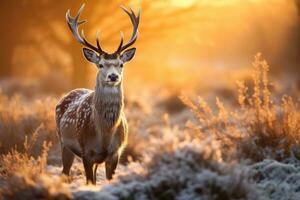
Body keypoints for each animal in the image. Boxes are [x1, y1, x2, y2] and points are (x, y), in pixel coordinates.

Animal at [55, 3, 140, 184]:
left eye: (121, 64)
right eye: (100, 64)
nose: (113, 76)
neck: (104, 136)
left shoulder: (115, 153)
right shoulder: (86, 152)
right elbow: (89, 182)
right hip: (63, 142)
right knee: (64, 172)